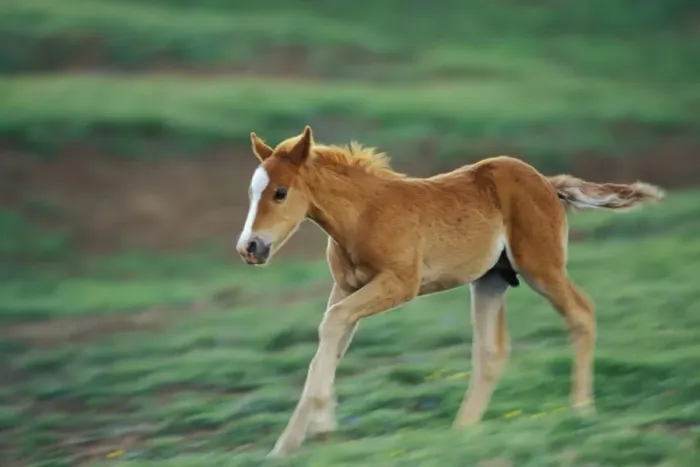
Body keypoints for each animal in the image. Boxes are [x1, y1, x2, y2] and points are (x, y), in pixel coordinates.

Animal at [235, 126, 664, 457]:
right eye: (252, 193)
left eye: (280, 192)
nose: (249, 247)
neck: (363, 215)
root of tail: (546, 182)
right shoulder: (344, 288)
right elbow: (327, 341)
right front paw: (284, 448)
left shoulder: (399, 284)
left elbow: (331, 323)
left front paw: (323, 428)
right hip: (491, 279)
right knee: (492, 351)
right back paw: (462, 432)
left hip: (541, 266)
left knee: (581, 313)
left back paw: (580, 410)